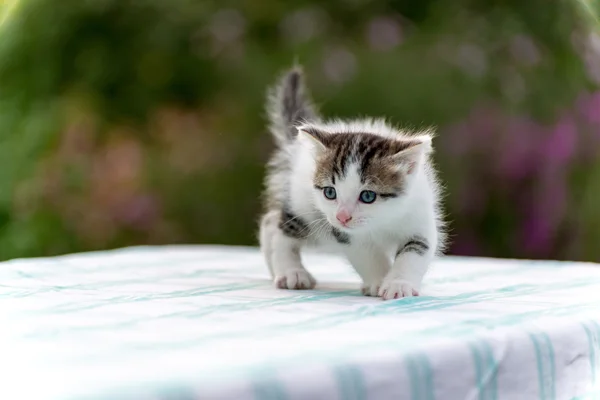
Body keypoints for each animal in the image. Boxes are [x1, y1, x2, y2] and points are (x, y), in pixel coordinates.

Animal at [258, 66, 446, 300]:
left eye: (368, 196)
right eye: (330, 192)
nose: (342, 216)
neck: (383, 220)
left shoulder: (420, 218)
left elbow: (415, 253)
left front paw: (398, 284)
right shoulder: (345, 233)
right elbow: (366, 255)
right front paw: (378, 281)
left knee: (270, 221)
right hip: (305, 208)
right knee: (279, 228)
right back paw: (291, 272)